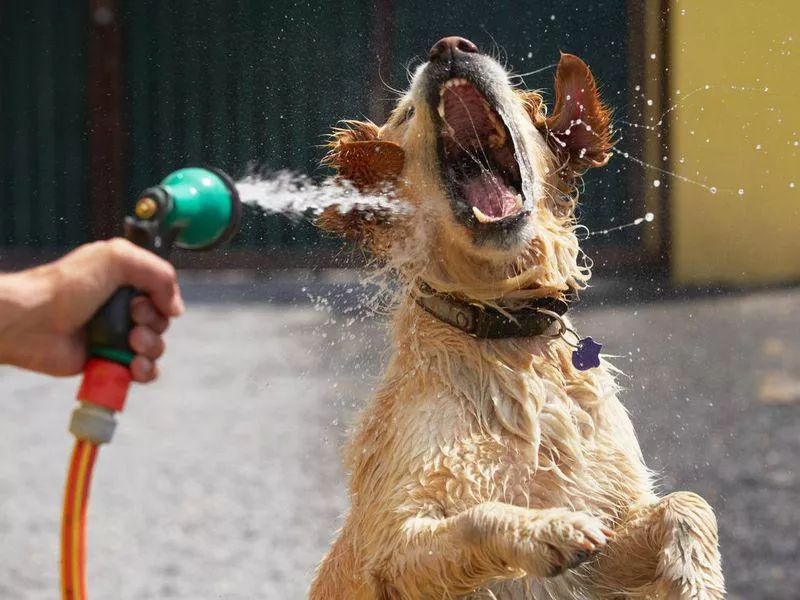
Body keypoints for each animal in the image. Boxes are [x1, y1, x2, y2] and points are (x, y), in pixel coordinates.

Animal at [308, 37, 724, 600]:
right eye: (405, 114)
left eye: (522, 102)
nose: (449, 47)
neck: (508, 332)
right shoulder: (390, 547)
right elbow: (478, 515)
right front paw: (546, 529)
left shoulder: (605, 543)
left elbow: (688, 503)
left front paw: (696, 579)